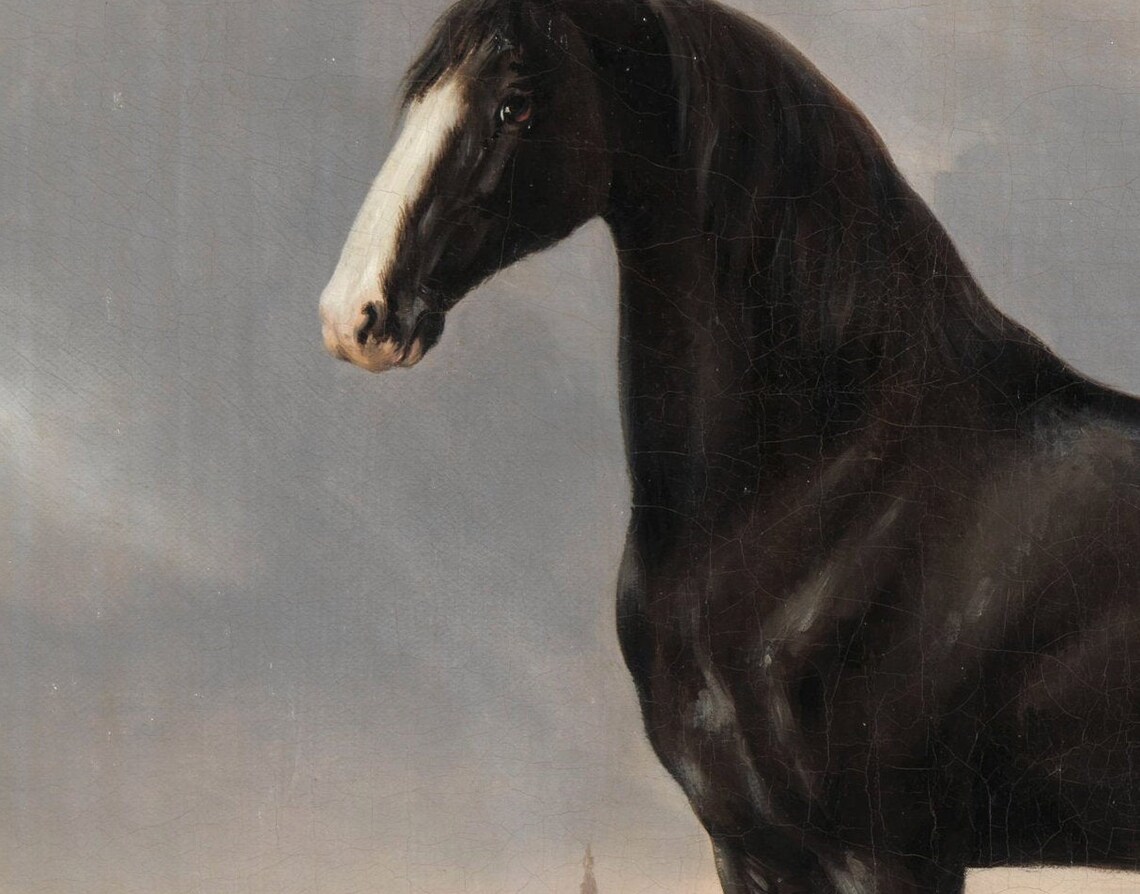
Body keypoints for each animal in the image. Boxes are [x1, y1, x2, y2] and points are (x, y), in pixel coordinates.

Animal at [318, 1, 1140, 891]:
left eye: (515, 103)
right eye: (420, 92)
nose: (354, 314)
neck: (832, 486)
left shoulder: (888, 854)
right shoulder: (747, 844)